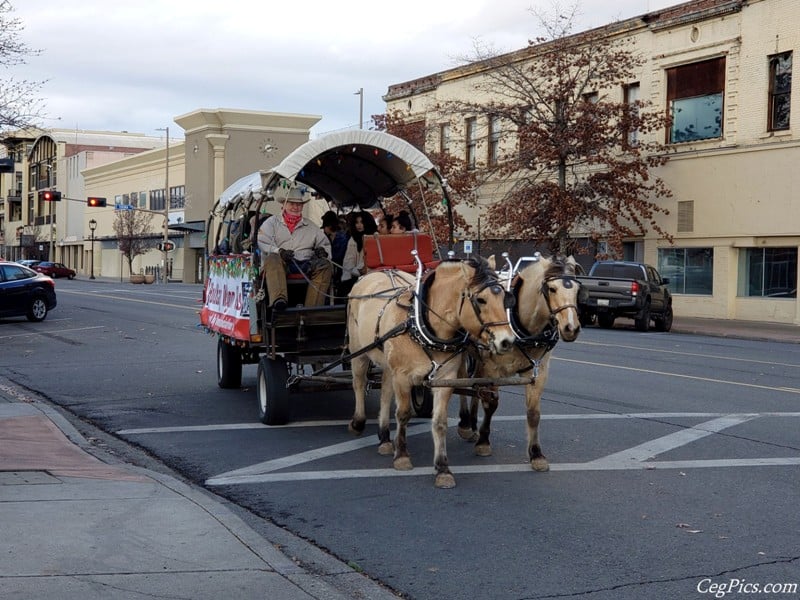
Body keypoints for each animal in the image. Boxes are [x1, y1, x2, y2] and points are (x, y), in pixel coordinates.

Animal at [346, 256, 516, 488]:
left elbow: (440, 422)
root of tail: (376, 273)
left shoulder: (444, 380)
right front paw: (402, 456)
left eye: (506, 297)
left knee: (385, 392)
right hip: (358, 352)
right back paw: (358, 422)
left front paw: (443, 468)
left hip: (389, 363)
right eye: (481, 300)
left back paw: (384, 438)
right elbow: (403, 414)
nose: (507, 341)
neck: (421, 324)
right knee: (359, 382)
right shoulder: (403, 376)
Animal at [456, 253, 580, 468]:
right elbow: (491, 403)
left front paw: (536, 454)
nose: (571, 328)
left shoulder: (539, 370)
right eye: (552, 288)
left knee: (475, 388)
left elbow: (533, 413)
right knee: (463, 382)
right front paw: (484, 442)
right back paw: (465, 424)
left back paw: (472, 424)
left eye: (577, 289)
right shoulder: (492, 368)